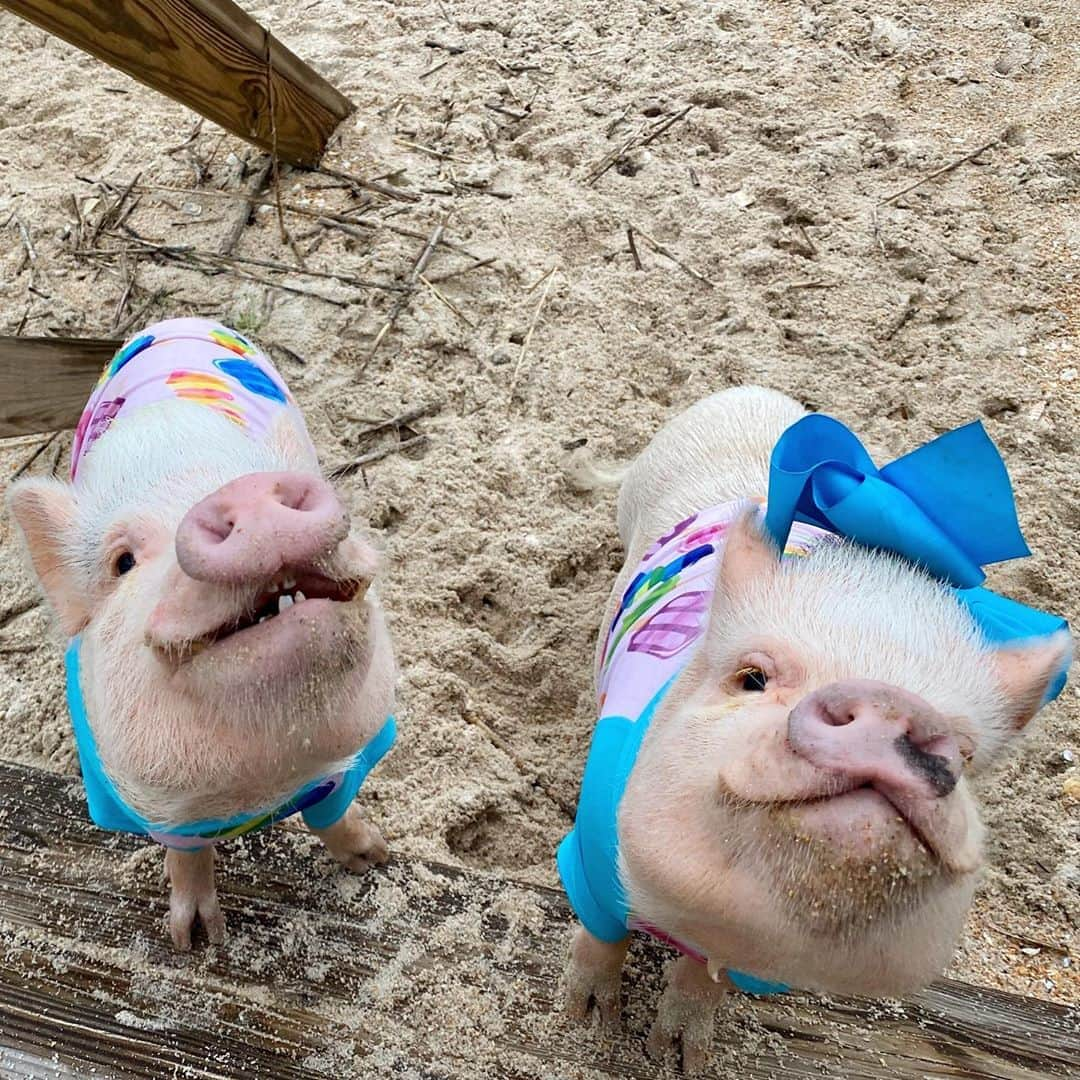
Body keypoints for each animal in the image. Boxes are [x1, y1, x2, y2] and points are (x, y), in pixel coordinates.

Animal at [8, 315, 397, 950]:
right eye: (122, 561)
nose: (243, 492)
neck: (265, 783)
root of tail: (177, 318)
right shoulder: (153, 808)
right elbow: (188, 857)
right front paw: (196, 941)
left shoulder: (350, 762)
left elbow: (334, 816)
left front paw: (373, 860)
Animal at [561, 384, 1067, 1067]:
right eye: (752, 677)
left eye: (966, 754)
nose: (894, 703)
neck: (717, 921)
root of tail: (749, 391)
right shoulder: (591, 850)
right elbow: (602, 933)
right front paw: (587, 1023)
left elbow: (706, 979)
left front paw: (679, 1056)